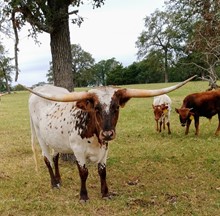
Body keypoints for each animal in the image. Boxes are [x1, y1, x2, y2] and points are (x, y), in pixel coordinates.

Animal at [25, 75, 196, 202]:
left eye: (116, 107)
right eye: (96, 108)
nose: (107, 134)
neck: (94, 134)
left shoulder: (105, 148)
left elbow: (102, 171)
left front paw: (105, 193)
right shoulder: (78, 150)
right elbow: (83, 172)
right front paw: (83, 196)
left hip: (55, 140)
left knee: (55, 157)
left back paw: (59, 180)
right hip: (40, 137)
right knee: (47, 159)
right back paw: (54, 183)